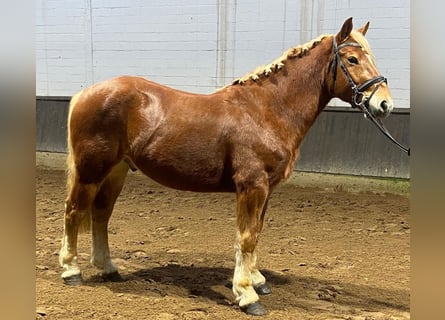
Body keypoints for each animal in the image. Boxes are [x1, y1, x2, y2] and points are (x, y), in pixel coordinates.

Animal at [59, 18, 392, 316]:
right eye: (352, 59)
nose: (385, 104)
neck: (267, 110)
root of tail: (85, 93)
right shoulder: (251, 186)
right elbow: (245, 237)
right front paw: (247, 295)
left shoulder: (267, 189)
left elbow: (256, 233)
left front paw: (257, 281)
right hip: (91, 170)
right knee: (74, 211)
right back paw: (71, 270)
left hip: (115, 171)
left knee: (101, 215)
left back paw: (108, 268)